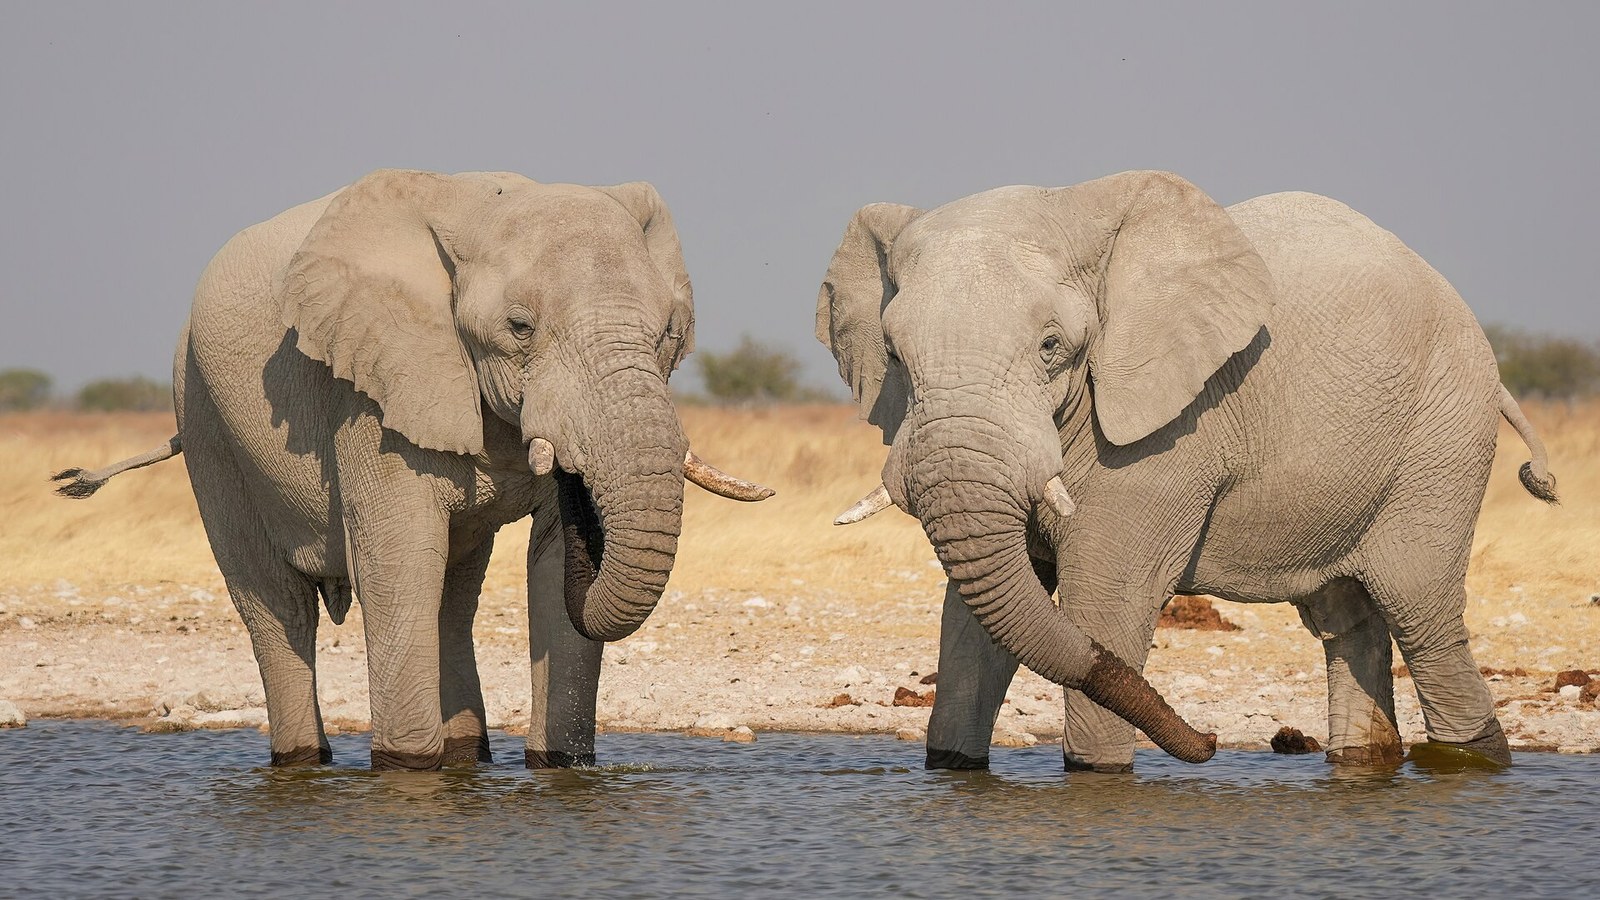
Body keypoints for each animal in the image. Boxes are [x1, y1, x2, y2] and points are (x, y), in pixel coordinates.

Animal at [55, 169, 771, 770]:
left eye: (669, 334)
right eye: (519, 327)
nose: (574, 483)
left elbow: (543, 569)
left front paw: (560, 766)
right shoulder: (370, 387)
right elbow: (398, 556)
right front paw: (406, 769)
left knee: (450, 596)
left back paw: (465, 755)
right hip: (203, 412)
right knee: (277, 604)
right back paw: (304, 758)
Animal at [817, 170, 1557, 772]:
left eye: (1052, 346)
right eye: (894, 354)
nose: (1209, 743)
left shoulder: (1168, 438)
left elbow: (1104, 605)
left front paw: (1097, 774)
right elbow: (975, 625)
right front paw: (954, 767)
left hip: (1442, 437)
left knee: (1422, 616)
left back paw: (1475, 759)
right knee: (1349, 622)